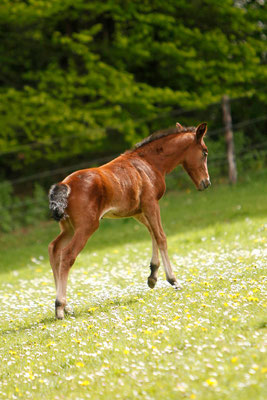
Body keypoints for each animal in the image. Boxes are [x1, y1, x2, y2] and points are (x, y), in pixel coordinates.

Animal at [48, 122, 211, 318]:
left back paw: (66, 306)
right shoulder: (151, 203)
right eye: (204, 152)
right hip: (86, 226)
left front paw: (152, 276)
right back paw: (60, 307)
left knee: (54, 249)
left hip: (68, 228)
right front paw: (173, 280)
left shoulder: (138, 211)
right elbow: (161, 237)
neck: (149, 163)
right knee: (67, 255)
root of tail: (65, 185)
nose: (206, 183)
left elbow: (153, 233)